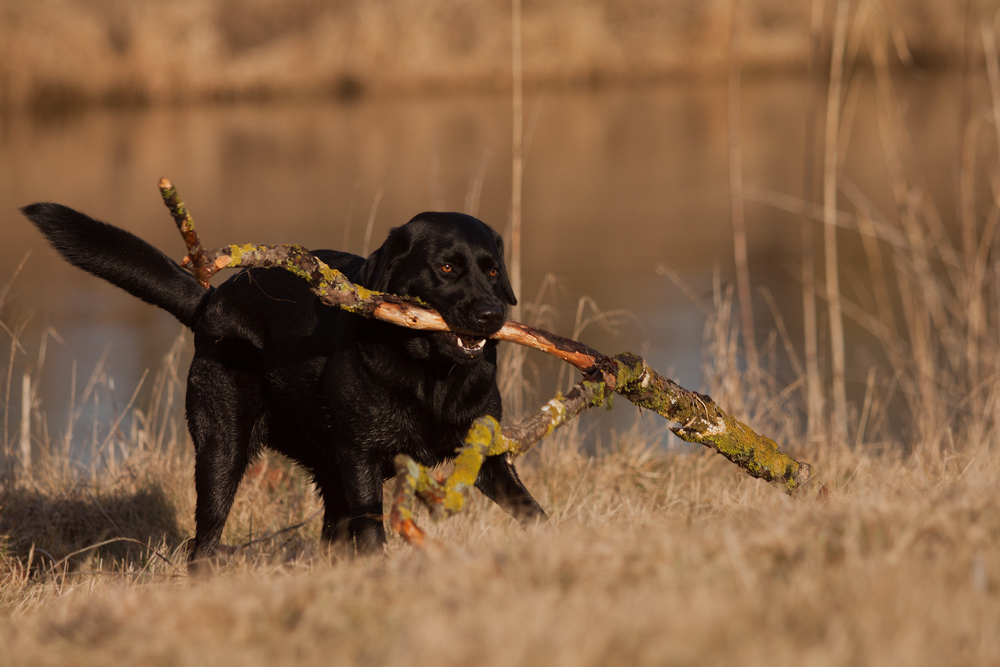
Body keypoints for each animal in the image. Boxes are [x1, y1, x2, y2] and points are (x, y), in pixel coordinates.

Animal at [19, 204, 544, 560]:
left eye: (492, 270)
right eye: (447, 267)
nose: (492, 315)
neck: (429, 376)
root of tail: (211, 301)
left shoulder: (486, 451)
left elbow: (530, 509)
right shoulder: (361, 457)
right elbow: (373, 533)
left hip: (324, 468)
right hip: (222, 451)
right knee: (203, 541)